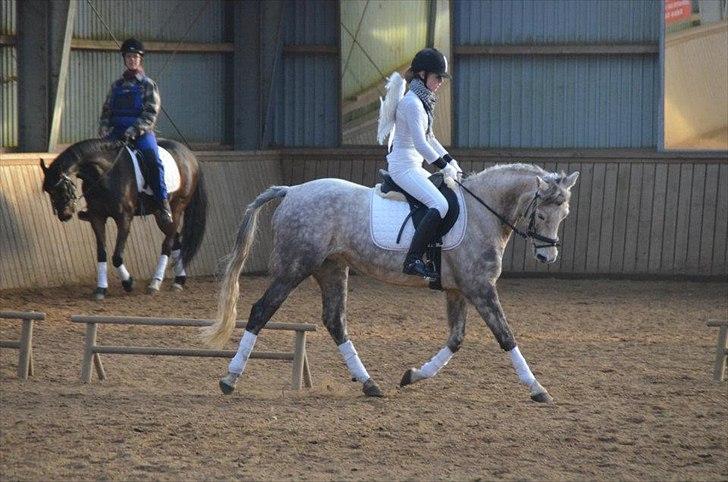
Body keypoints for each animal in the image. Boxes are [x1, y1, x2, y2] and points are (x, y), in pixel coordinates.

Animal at [41, 137, 206, 300]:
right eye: (49, 192)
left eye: (60, 188)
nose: (65, 215)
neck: (106, 173)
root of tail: (190, 155)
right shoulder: (97, 217)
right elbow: (102, 253)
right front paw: (101, 289)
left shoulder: (124, 218)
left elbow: (117, 257)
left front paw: (128, 283)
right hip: (160, 215)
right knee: (175, 239)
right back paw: (179, 281)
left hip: (177, 207)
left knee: (167, 244)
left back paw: (155, 283)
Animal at [205, 164, 580, 402]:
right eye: (541, 214)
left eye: (565, 215)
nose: (548, 256)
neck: (481, 213)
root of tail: (292, 190)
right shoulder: (480, 288)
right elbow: (506, 336)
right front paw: (537, 388)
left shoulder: (458, 289)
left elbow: (456, 339)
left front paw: (412, 375)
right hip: (295, 267)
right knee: (261, 310)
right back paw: (229, 378)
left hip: (331, 268)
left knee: (335, 321)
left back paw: (370, 384)